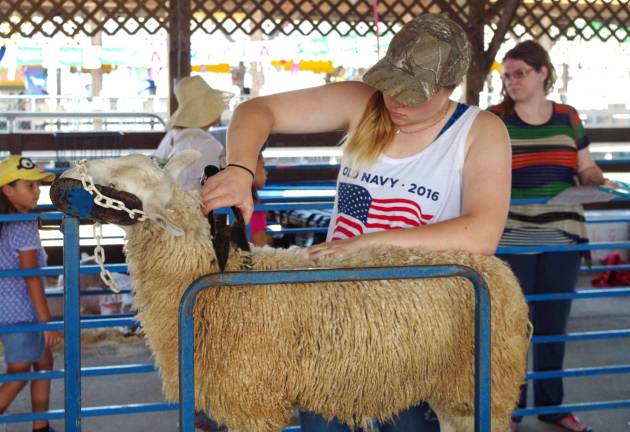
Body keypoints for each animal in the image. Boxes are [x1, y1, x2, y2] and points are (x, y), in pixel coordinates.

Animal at [54, 153, 532, 432]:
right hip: (454, 393)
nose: (62, 179)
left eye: (135, 176)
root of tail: (501, 269)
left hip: (485, 386)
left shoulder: (252, 401)